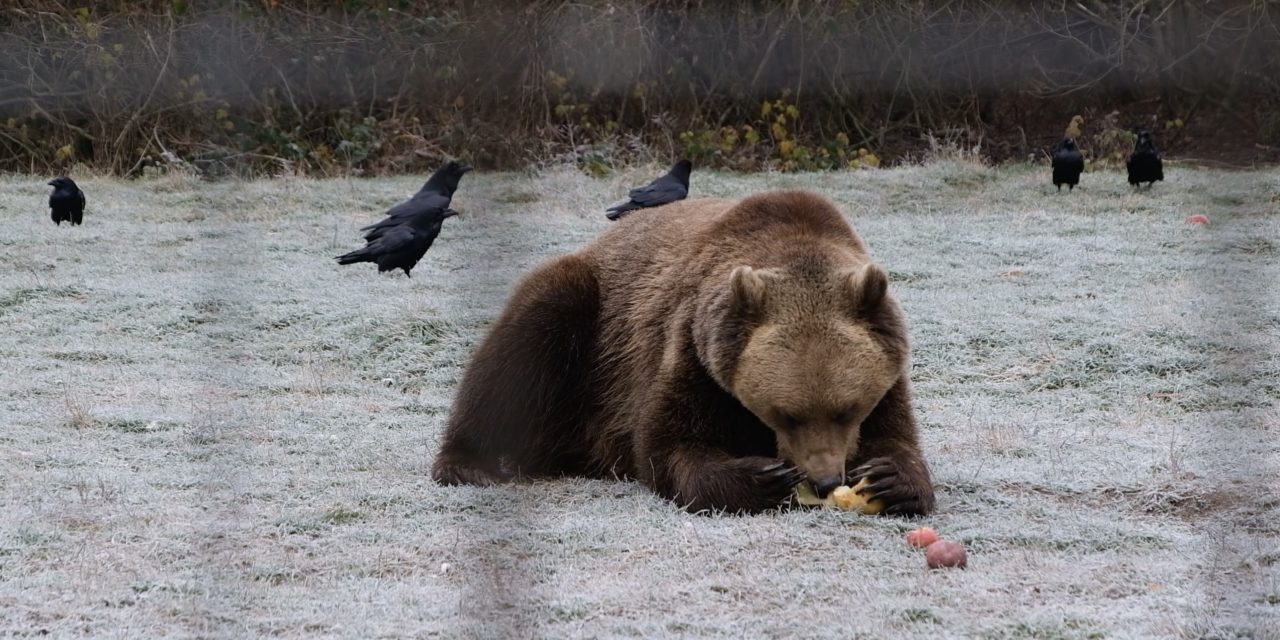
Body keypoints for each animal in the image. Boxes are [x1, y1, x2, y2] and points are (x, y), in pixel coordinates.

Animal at [432, 190, 935, 515]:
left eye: (848, 409)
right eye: (785, 414)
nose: (825, 479)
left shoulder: (888, 363)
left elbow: (897, 437)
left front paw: (890, 479)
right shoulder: (689, 347)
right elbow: (669, 443)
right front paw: (760, 478)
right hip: (590, 332)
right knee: (519, 349)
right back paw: (470, 463)